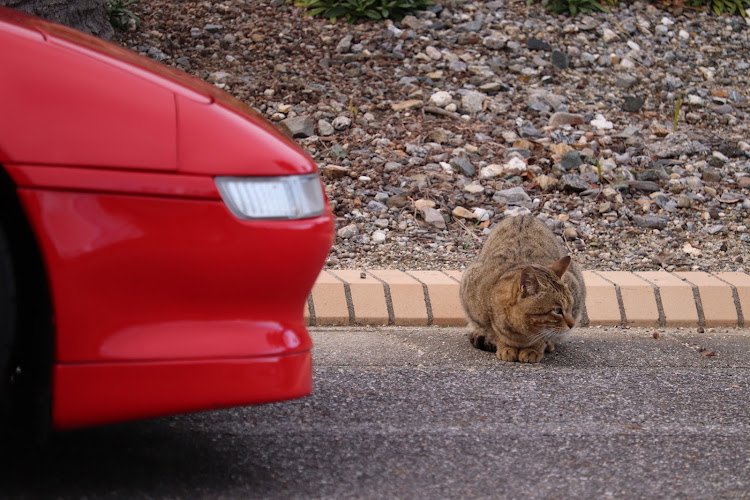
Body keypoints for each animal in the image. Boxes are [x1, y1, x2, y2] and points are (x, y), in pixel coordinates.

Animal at [458, 215, 588, 364]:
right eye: (557, 311)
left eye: (570, 306)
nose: (572, 324)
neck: (520, 333)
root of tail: (522, 215)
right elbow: (494, 333)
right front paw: (505, 346)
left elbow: (543, 337)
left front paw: (534, 348)